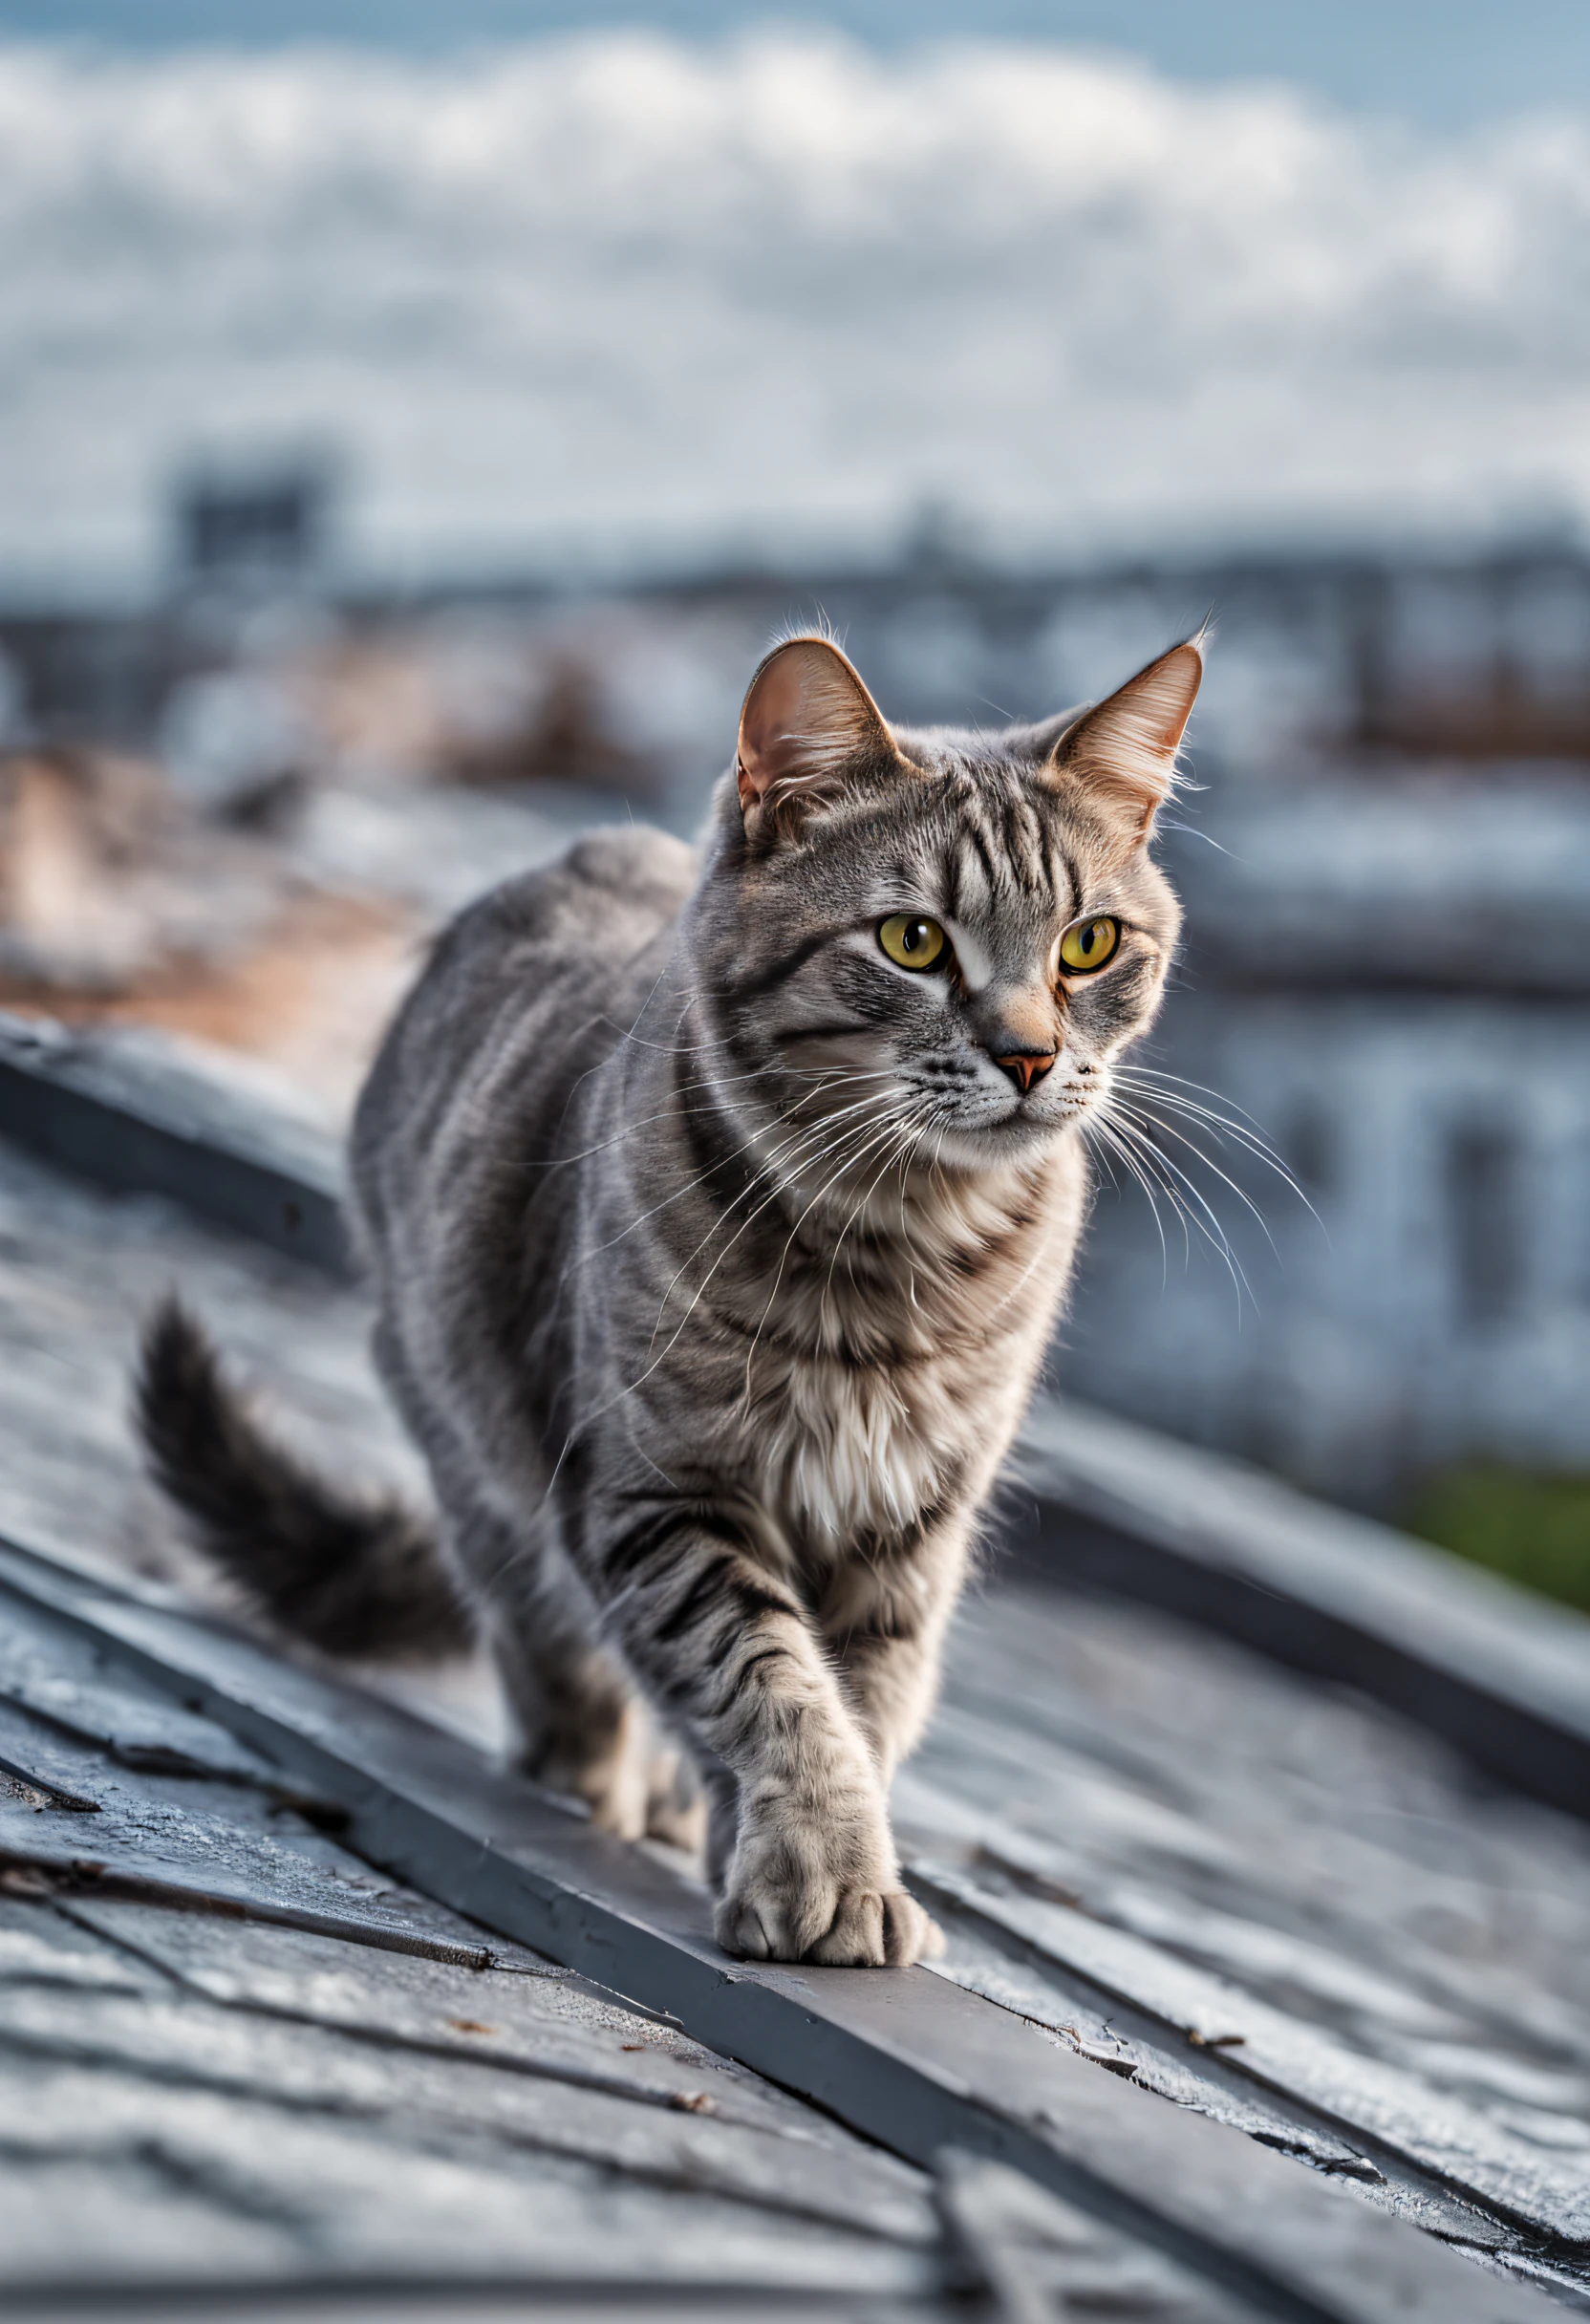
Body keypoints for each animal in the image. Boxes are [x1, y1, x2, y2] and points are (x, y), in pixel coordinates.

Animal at [139, 632, 1209, 1961]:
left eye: (1087, 944)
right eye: (912, 941)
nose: (1027, 1055)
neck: (895, 1254)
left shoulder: (906, 1530)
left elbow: (861, 1701)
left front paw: (785, 1849)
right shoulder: (655, 1488)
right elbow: (770, 1680)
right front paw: (823, 1866)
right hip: (471, 1435)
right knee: (551, 1648)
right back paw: (584, 1778)